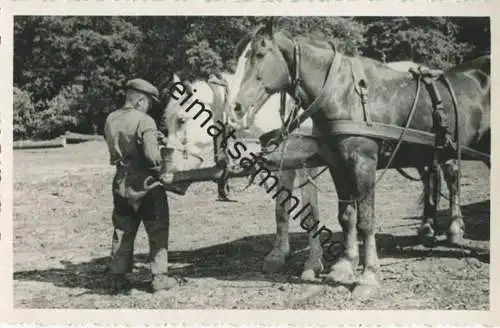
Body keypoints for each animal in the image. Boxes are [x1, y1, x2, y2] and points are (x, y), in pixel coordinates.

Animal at [229, 20, 490, 298]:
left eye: (260, 54)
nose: (236, 108)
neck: (344, 95)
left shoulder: (362, 163)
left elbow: (365, 220)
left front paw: (368, 275)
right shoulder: (337, 164)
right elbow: (346, 216)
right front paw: (345, 265)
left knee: (451, 176)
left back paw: (455, 231)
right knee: (433, 177)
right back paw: (429, 230)